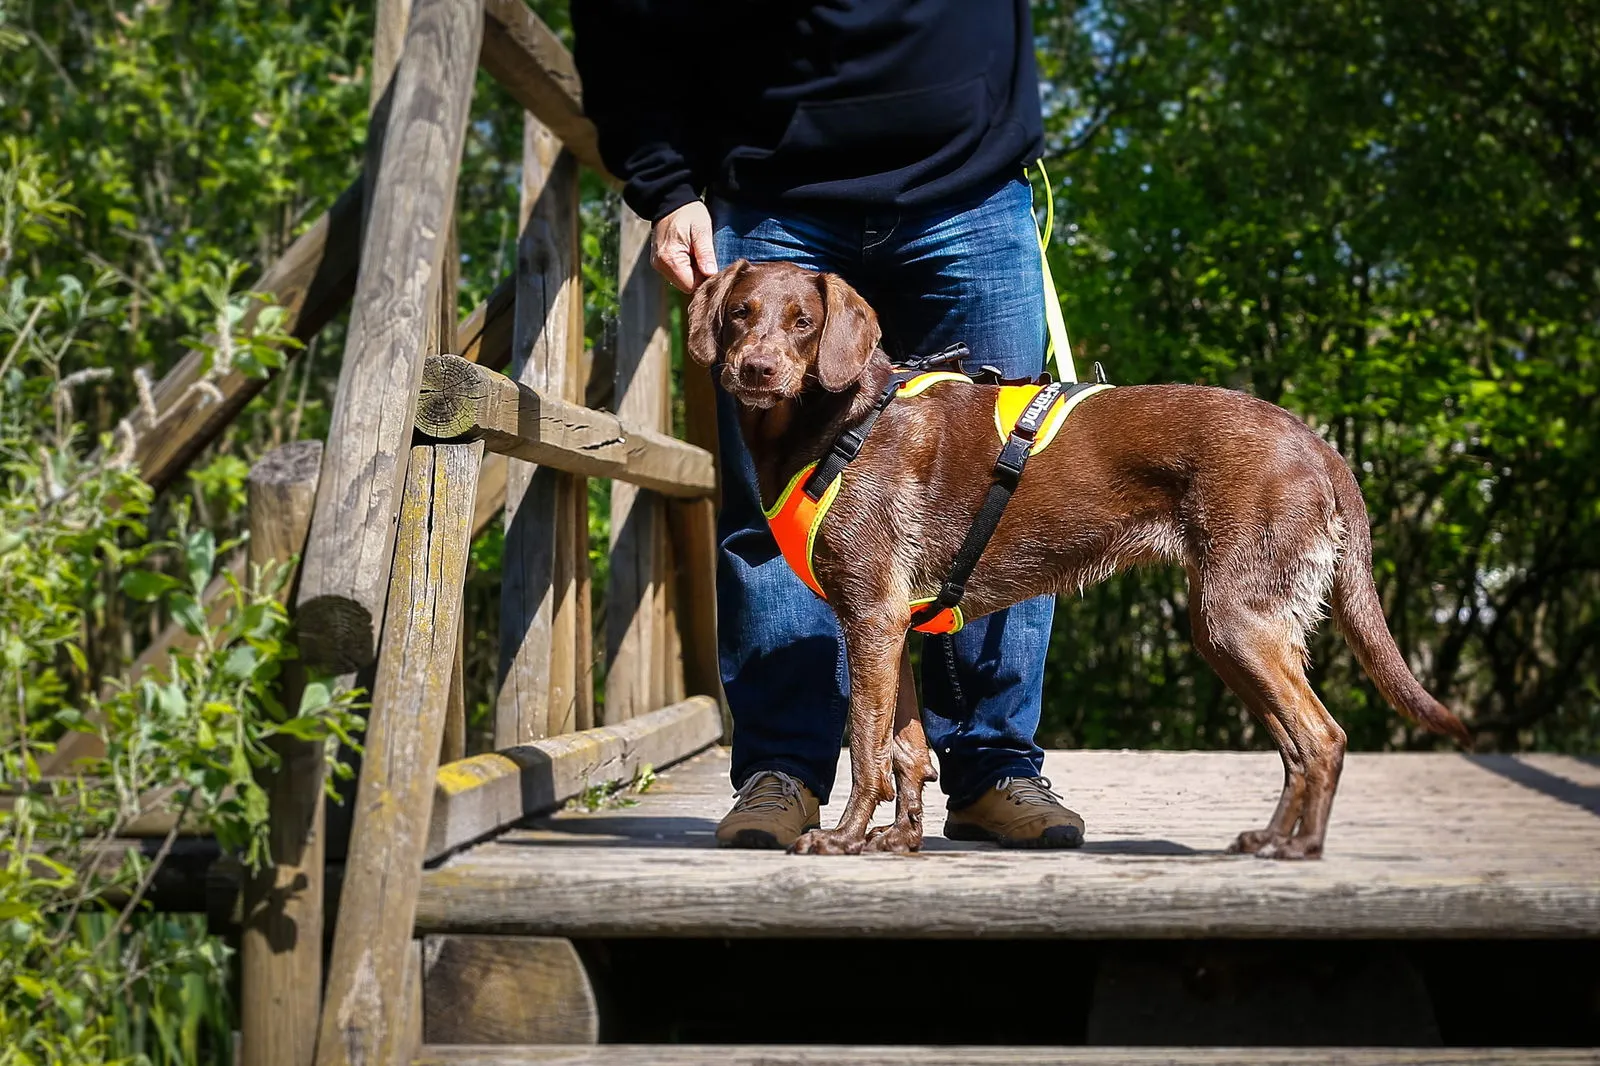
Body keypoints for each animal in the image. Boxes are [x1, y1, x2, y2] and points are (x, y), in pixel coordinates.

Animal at [684, 257, 1465, 857]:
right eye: (740, 314)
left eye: (803, 323)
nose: (755, 370)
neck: (844, 421)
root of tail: (1317, 444)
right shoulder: (892, 626)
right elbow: (906, 749)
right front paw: (898, 842)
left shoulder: (870, 617)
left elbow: (869, 748)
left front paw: (844, 841)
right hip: (1230, 635)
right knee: (1297, 749)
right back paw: (1273, 840)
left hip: (1238, 623)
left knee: (1323, 739)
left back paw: (1301, 849)